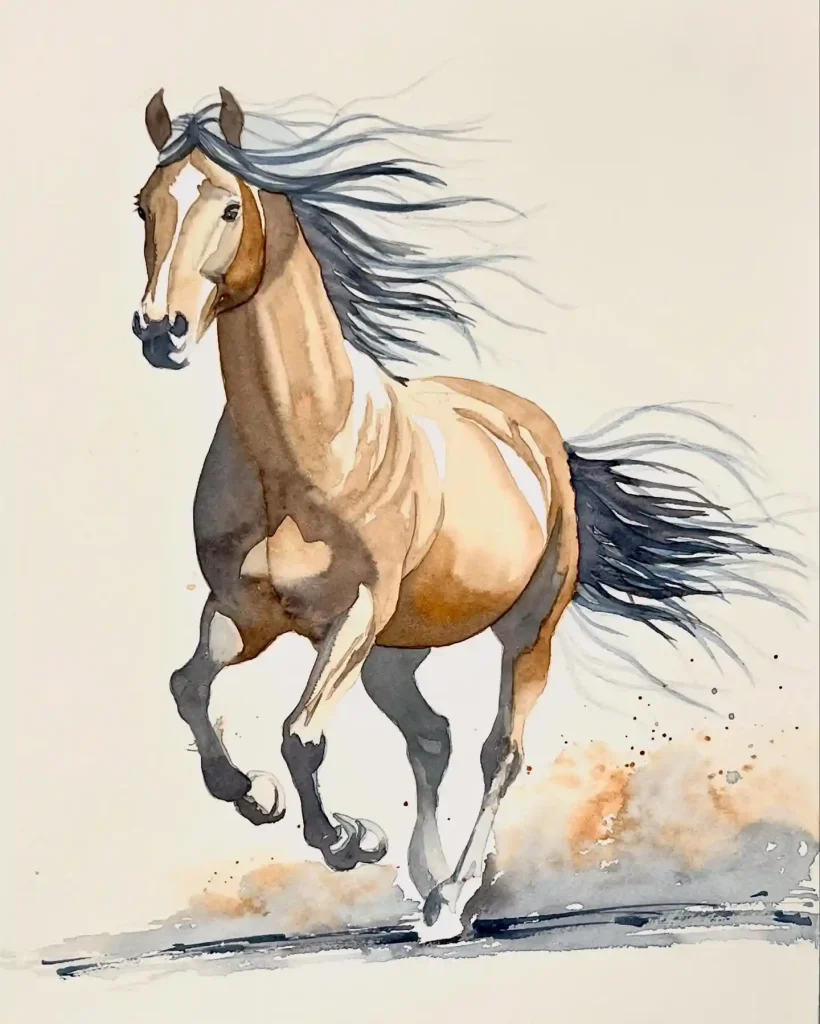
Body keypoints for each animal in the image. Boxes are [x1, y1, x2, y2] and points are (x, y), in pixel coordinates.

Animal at [131, 88, 794, 938]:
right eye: (143, 205)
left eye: (226, 208)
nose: (160, 331)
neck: (305, 451)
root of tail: (538, 436)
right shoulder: (242, 612)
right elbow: (188, 688)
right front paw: (260, 798)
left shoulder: (354, 612)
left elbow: (301, 735)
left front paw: (348, 839)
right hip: (395, 652)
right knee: (431, 738)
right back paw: (433, 879)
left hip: (524, 629)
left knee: (496, 751)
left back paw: (450, 898)